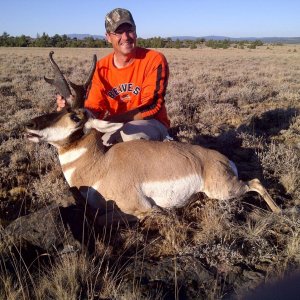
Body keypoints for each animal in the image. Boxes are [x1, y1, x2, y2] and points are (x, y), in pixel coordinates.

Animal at [25, 52, 282, 225]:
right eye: (57, 109)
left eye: (75, 117)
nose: (29, 125)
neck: (101, 165)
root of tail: (223, 160)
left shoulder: (142, 208)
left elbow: (103, 218)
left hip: (224, 189)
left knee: (256, 183)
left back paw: (280, 213)